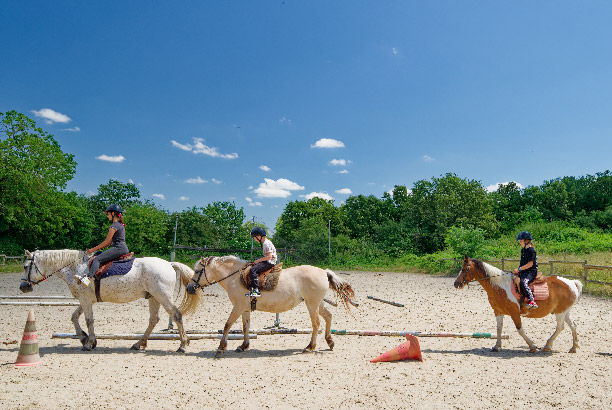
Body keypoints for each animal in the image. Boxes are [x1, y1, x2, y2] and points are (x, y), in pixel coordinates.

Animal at [17, 250, 201, 352]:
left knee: (176, 315)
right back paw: (138, 343)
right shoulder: (85, 300)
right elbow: (74, 317)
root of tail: (169, 264)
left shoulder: (85, 300)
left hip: (162, 297)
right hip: (154, 297)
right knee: (153, 320)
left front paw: (89, 343)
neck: (76, 268)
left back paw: (182, 345)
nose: (22, 286)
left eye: (26, 267)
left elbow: (89, 320)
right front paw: (83, 337)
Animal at [176, 255, 358, 358]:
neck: (235, 277)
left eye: (197, 271)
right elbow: (245, 327)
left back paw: (310, 347)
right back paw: (330, 342)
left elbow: (227, 325)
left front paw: (221, 348)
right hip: (317, 303)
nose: (189, 288)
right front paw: (243, 346)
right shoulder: (245, 308)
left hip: (312, 304)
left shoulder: (237, 307)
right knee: (328, 317)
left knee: (316, 324)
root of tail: (324, 272)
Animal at [454, 255, 584, 354]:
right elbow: (499, 329)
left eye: (464, 269)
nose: (456, 283)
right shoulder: (498, 312)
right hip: (564, 311)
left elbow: (520, 330)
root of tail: (572, 282)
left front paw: (532, 346)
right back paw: (573, 347)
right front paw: (497, 346)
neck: (499, 286)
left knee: (560, 327)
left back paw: (547, 346)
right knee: (573, 326)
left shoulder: (514, 313)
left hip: (560, 312)